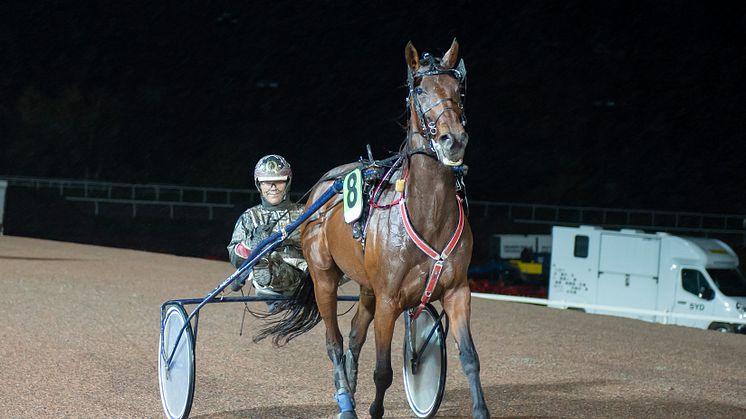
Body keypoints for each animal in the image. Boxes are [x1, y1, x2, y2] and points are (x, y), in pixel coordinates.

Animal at [260, 40, 488, 419]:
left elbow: (470, 358)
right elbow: (383, 371)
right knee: (335, 342)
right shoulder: (389, 301)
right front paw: (372, 407)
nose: (453, 140)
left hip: (366, 286)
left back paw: (348, 392)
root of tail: (327, 182)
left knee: (353, 337)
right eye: (419, 90)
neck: (428, 216)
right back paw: (345, 399)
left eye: (459, 89)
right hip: (325, 278)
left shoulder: (457, 292)